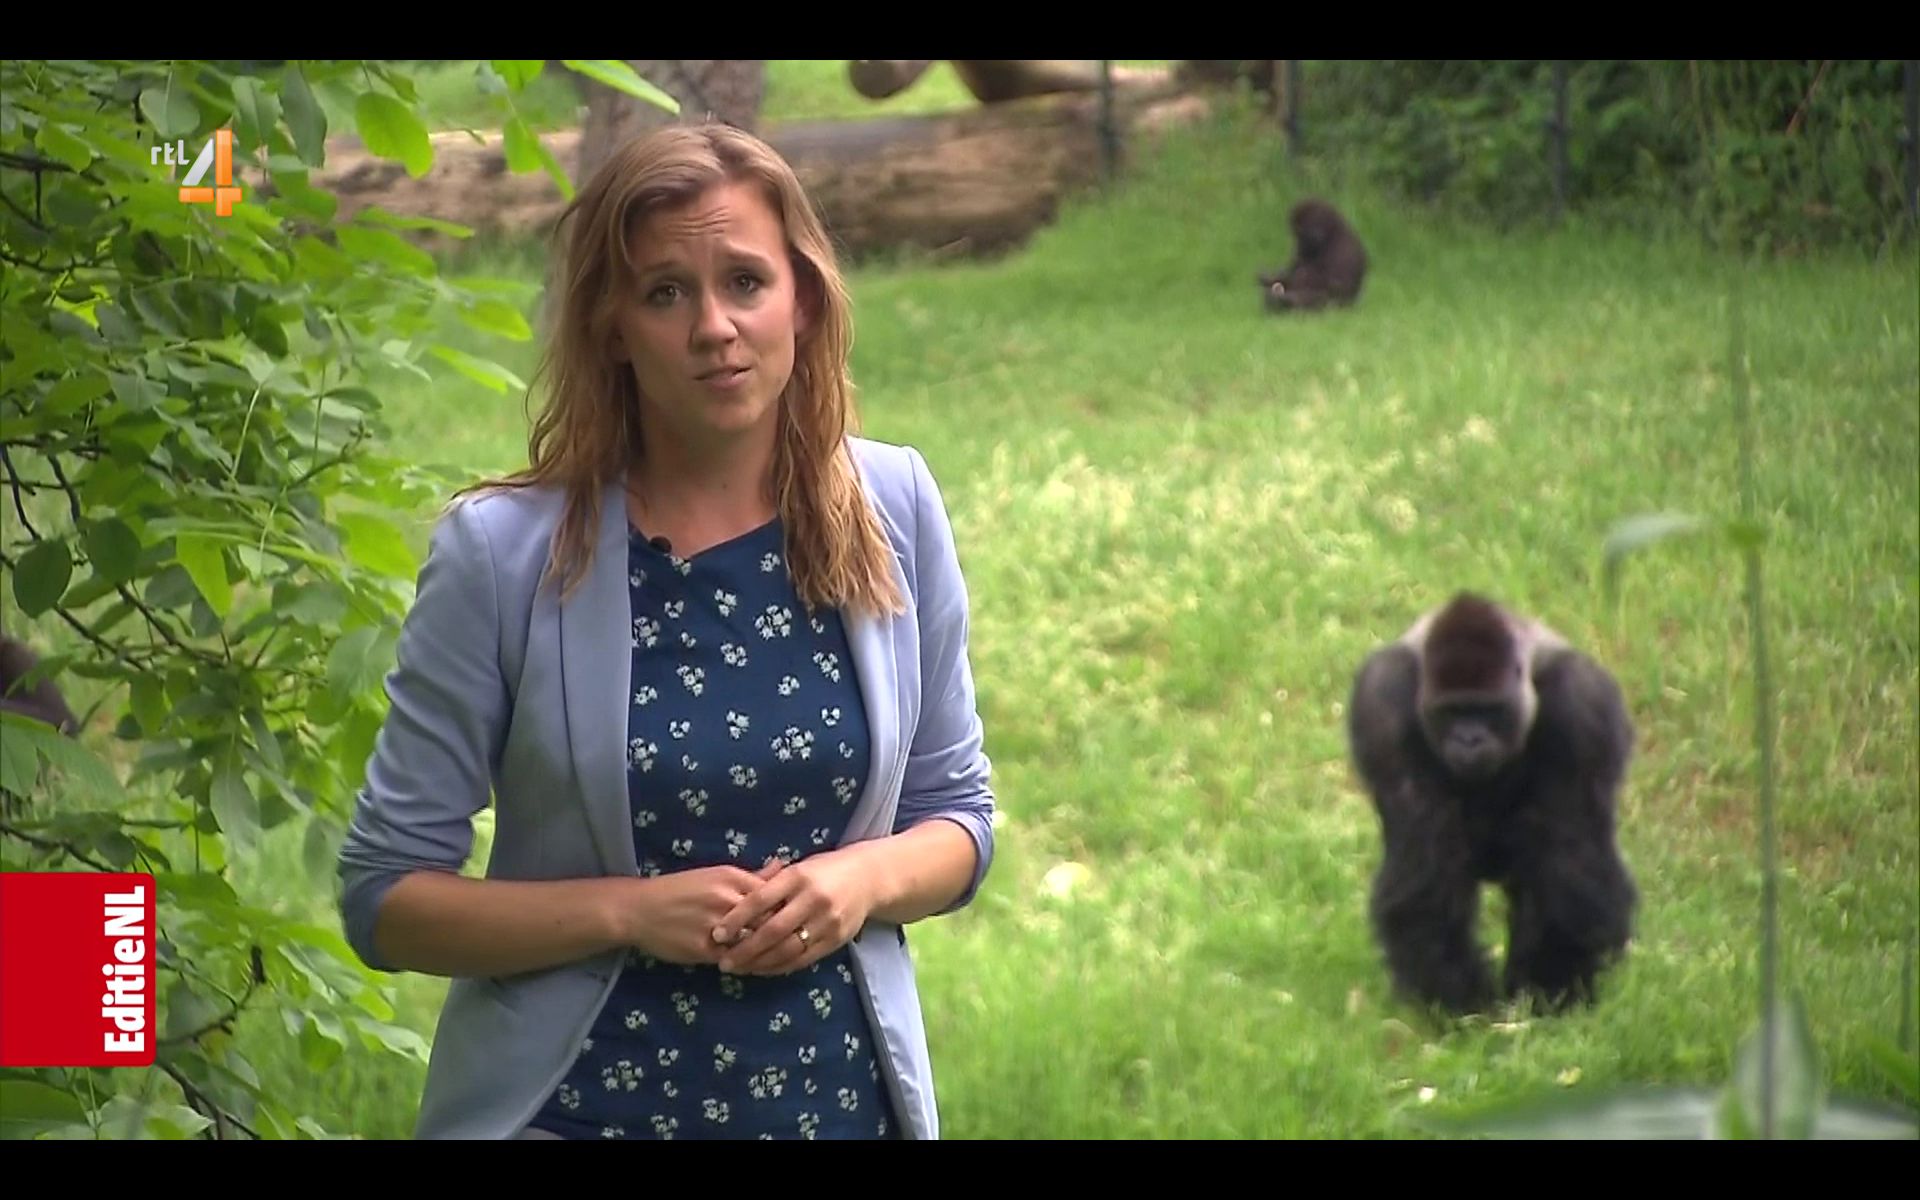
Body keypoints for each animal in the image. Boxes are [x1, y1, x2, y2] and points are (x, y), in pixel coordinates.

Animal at [1345, 592, 1637, 1017]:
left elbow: (1571, 858)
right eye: (1452, 711)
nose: (1469, 739)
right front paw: (1456, 1005)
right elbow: (1423, 865)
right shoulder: (1382, 698)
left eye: (1489, 709)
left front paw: (1553, 991)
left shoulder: (1584, 702)